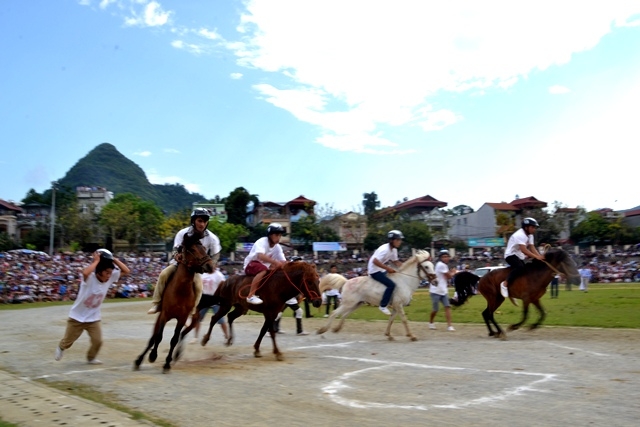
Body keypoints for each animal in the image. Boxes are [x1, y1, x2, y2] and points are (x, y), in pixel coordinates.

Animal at [133, 231, 215, 374]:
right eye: (193, 249)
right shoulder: (164, 314)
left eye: (205, 248)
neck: (180, 290)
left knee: (182, 334)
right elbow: (158, 337)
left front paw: (167, 363)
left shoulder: (182, 318)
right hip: (161, 316)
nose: (210, 265)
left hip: (192, 320)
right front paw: (152, 355)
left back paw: (176, 355)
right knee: (153, 337)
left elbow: (174, 339)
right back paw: (139, 360)